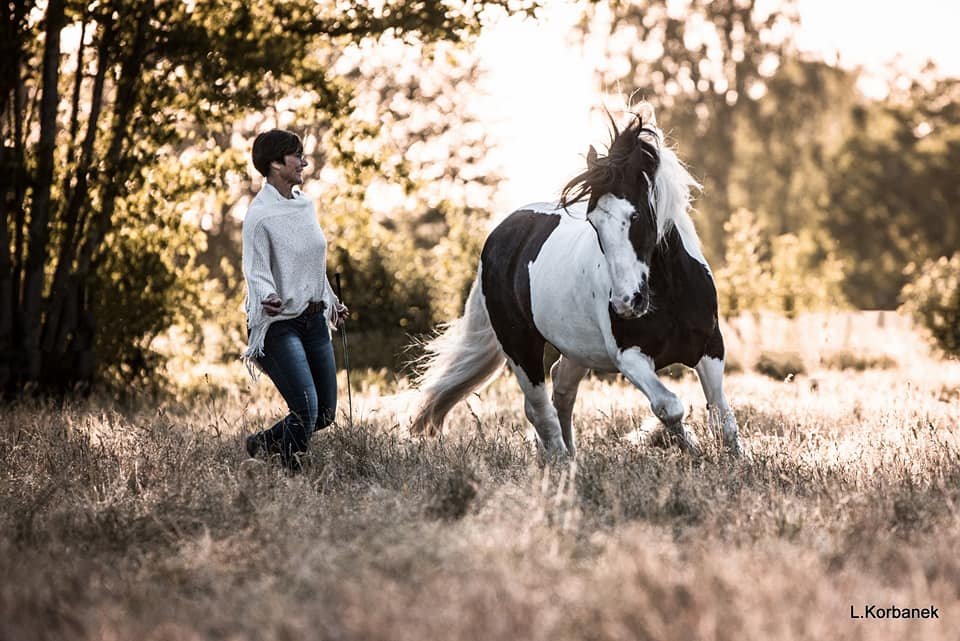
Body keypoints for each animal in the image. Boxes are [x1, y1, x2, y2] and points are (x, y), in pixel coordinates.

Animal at [411, 105, 743, 458]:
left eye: (636, 215)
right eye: (593, 221)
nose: (626, 303)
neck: (670, 293)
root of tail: (498, 236)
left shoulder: (711, 347)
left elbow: (721, 414)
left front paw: (735, 459)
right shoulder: (629, 357)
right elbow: (669, 407)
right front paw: (692, 449)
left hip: (576, 349)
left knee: (562, 389)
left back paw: (571, 457)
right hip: (520, 347)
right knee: (538, 407)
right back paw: (559, 459)